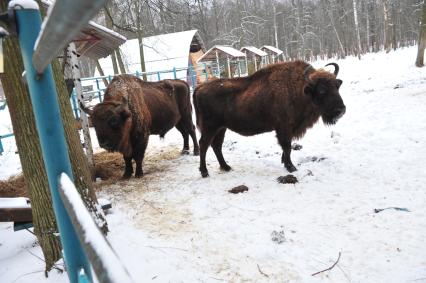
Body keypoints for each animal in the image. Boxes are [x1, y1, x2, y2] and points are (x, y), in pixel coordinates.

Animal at [193, 60, 346, 178]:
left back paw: (226, 167)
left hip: (221, 128)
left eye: (336, 87)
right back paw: (205, 172)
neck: (301, 90)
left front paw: (284, 162)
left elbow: (286, 148)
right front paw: (291, 167)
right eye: (321, 90)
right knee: (204, 145)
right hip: (210, 127)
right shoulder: (284, 127)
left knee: (216, 146)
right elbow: (287, 146)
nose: (341, 110)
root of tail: (199, 88)